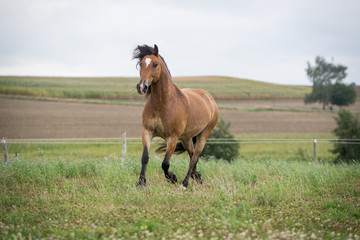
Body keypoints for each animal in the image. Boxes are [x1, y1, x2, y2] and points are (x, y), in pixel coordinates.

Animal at [131, 44, 217, 188]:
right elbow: (145, 158)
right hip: (187, 138)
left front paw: (173, 178)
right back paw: (197, 177)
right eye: (140, 64)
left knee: (195, 157)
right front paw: (141, 183)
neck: (163, 104)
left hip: (204, 134)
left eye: (155, 64)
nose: (142, 87)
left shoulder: (172, 137)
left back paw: (185, 184)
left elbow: (165, 163)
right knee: (192, 155)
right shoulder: (147, 131)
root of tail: (209, 98)